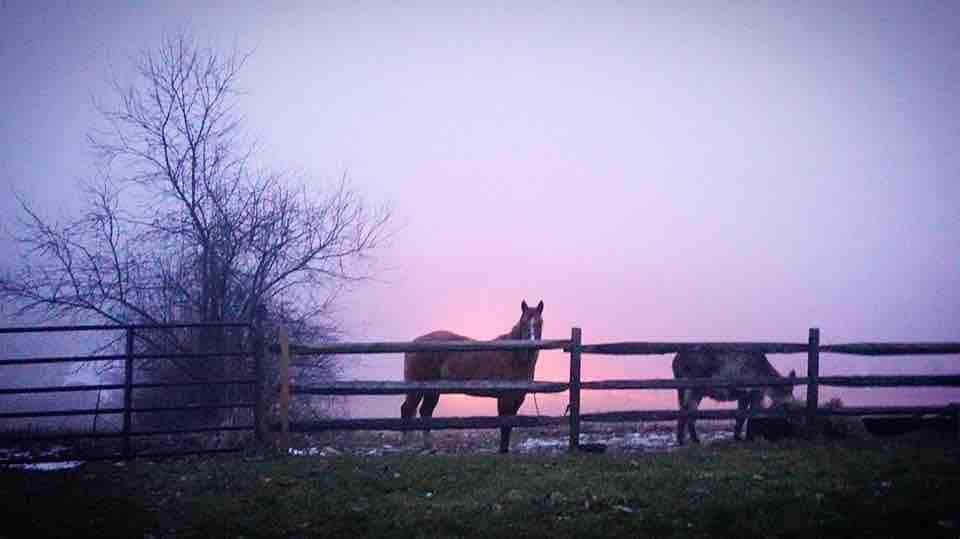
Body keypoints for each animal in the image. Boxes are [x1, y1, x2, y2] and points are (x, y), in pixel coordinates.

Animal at [402, 302, 544, 454]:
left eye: (539, 323)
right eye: (524, 323)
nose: (532, 344)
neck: (515, 356)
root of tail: (415, 343)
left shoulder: (518, 398)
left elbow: (509, 425)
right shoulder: (505, 398)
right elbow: (504, 425)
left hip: (432, 391)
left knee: (425, 412)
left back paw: (429, 447)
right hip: (417, 390)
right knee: (407, 410)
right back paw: (407, 444)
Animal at [668, 350, 796, 448]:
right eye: (788, 390)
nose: (793, 402)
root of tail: (675, 361)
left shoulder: (745, 396)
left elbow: (742, 416)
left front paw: (738, 437)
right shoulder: (750, 393)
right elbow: (748, 416)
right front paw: (747, 438)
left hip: (694, 392)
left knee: (687, 411)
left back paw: (687, 441)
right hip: (692, 389)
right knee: (686, 411)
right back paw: (689, 441)